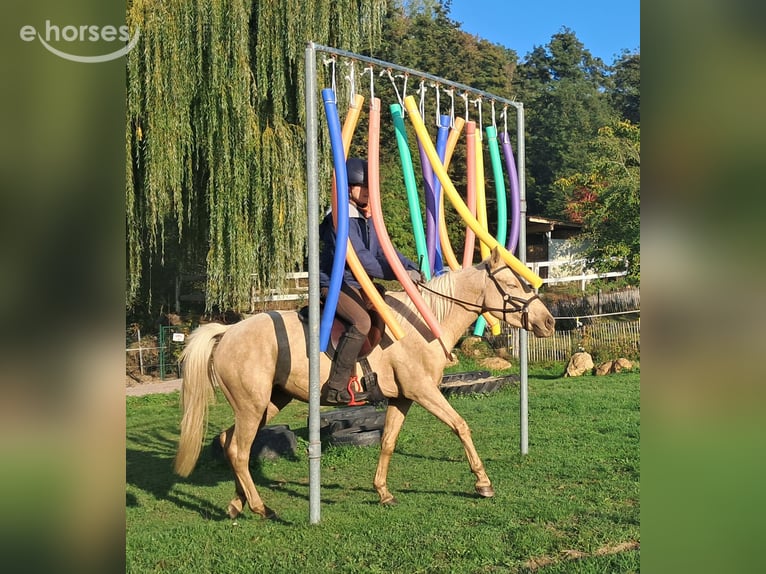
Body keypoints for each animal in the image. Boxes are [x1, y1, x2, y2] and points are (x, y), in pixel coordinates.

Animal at [174, 247, 555, 519]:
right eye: (512, 285)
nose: (549, 322)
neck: (423, 320)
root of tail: (227, 332)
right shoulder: (424, 392)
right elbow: (460, 426)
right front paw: (483, 483)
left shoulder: (403, 398)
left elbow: (387, 442)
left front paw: (383, 492)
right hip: (252, 405)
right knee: (239, 450)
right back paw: (259, 507)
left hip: (268, 402)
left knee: (231, 443)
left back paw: (238, 502)